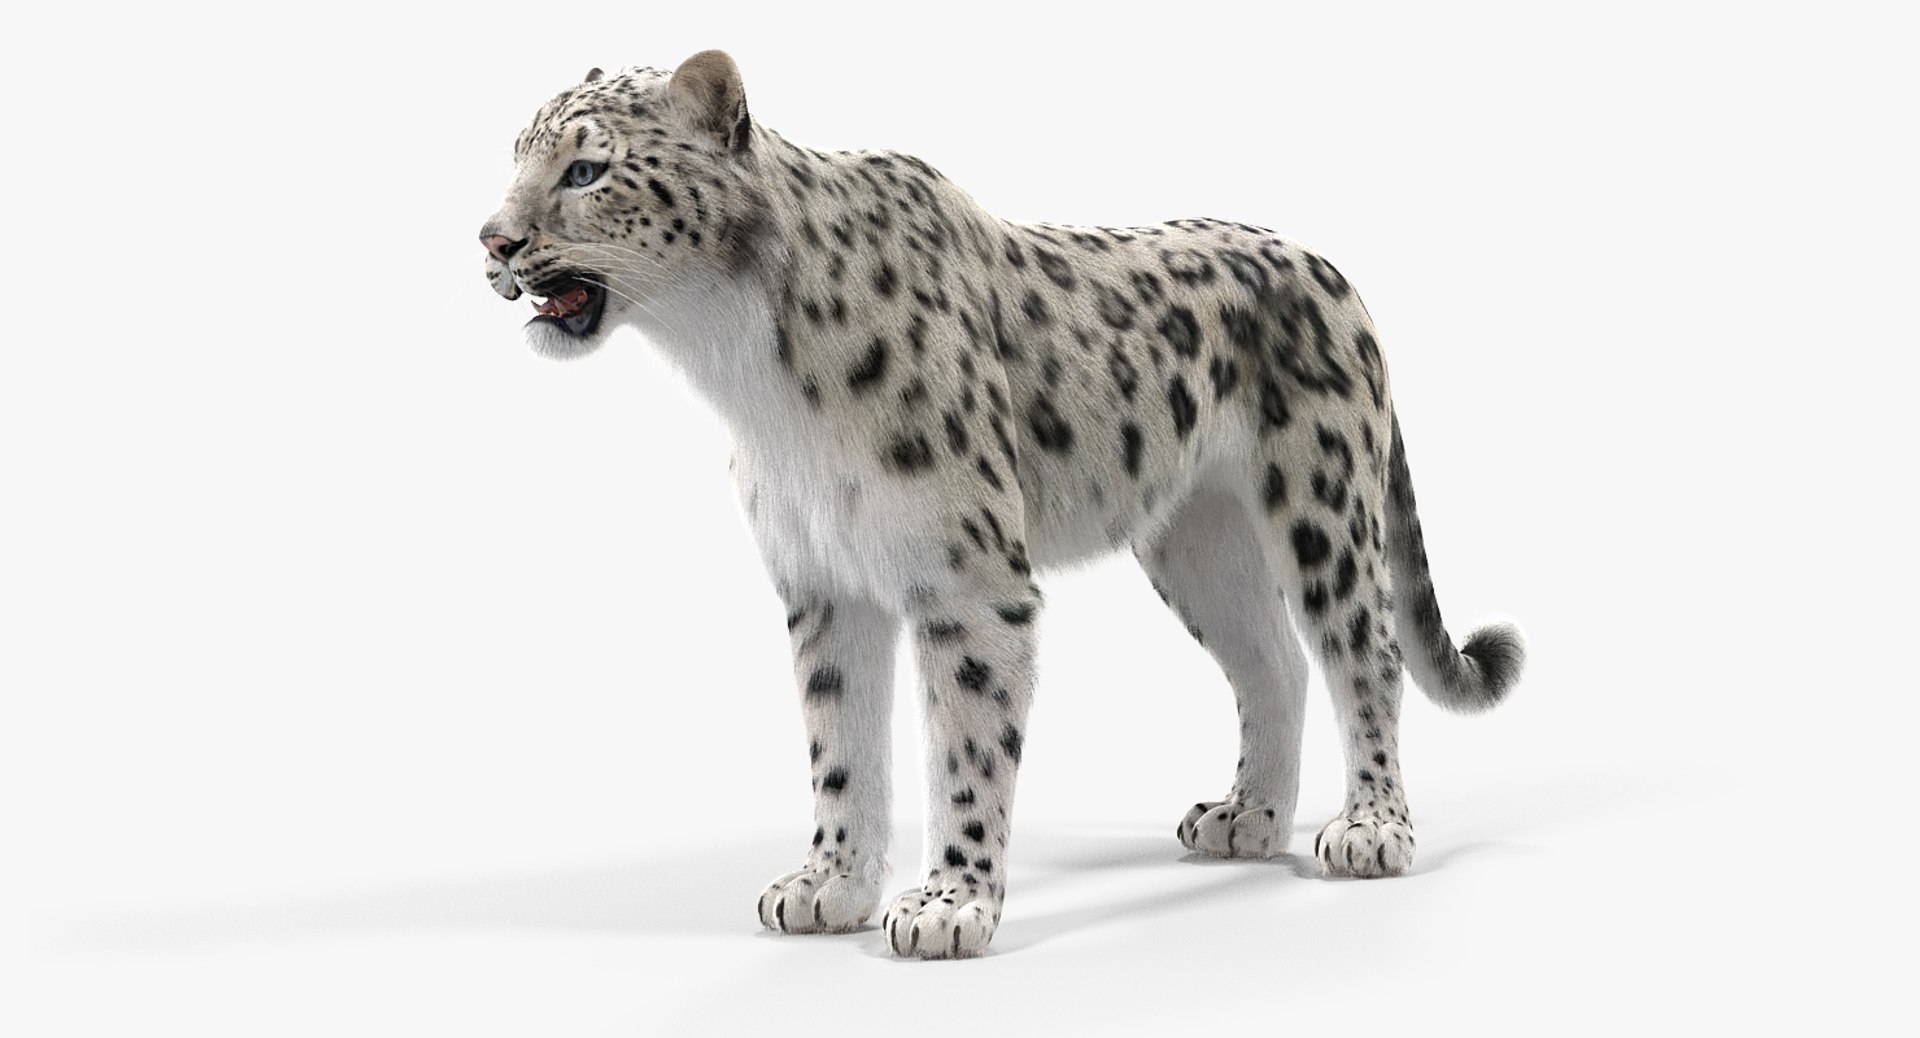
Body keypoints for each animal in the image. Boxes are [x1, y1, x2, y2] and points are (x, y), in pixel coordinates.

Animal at [479, 51, 1525, 959]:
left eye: (585, 167)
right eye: (518, 158)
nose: (492, 241)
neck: (742, 367)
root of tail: (1329, 268)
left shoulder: (967, 581)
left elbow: (965, 748)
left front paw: (949, 906)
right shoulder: (824, 580)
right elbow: (840, 745)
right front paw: (831, 887)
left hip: (1323, 507)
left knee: (1364, 653)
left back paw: (1371, 828)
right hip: (1199, 540)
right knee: (1271, 661)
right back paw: (1251, 818)